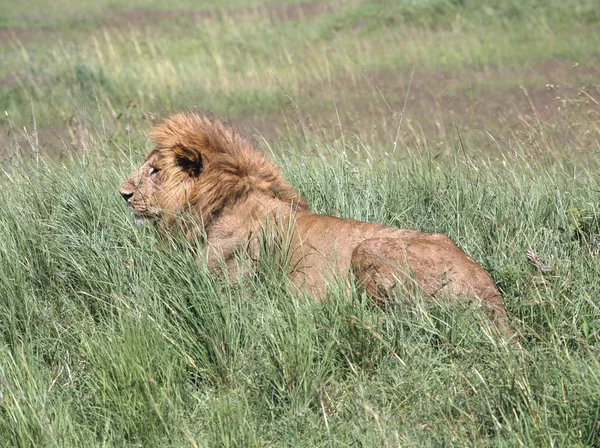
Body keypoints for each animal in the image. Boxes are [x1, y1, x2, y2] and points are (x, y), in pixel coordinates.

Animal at [119, 113, 512, 340]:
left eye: (154, 170)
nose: (122, 194)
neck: (214, 204)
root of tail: (493, 295)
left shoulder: (229, 288)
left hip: (369, 250)